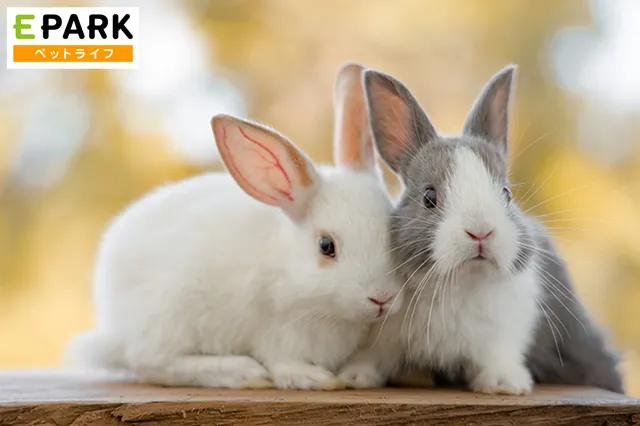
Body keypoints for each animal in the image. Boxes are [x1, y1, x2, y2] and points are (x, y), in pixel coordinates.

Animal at [340, 65, 624, 394]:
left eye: (506, 193)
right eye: (429, 197)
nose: (480, 232)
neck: (460, 282)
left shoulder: (503, 333)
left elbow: (497, 356)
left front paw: (505, 384)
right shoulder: (383, 335)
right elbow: (375, 356)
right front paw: (354, 377)